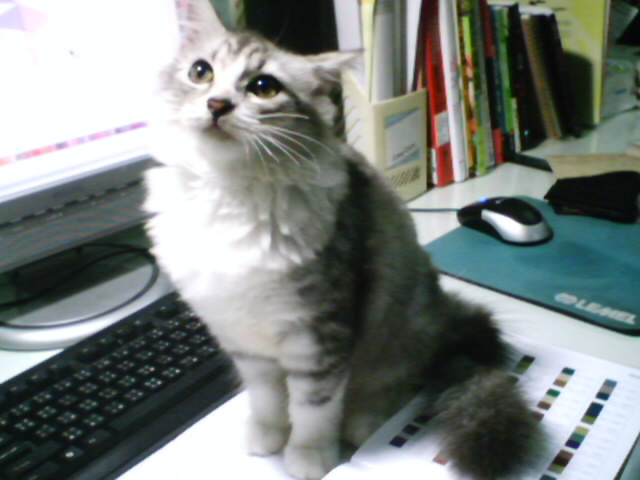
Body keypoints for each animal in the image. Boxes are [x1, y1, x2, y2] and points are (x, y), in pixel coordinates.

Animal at [144, 1, 541, 479]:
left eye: (263, 87)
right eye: (201, 71)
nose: (217, 104)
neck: (227, 189)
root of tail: (448, 326)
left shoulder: (318, 337)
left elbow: (312, 411)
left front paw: (308, 457)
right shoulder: (244, 340)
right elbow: (267, 401)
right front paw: (267, 438)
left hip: (400, 336)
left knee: (396, 387)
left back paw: (364, 424)